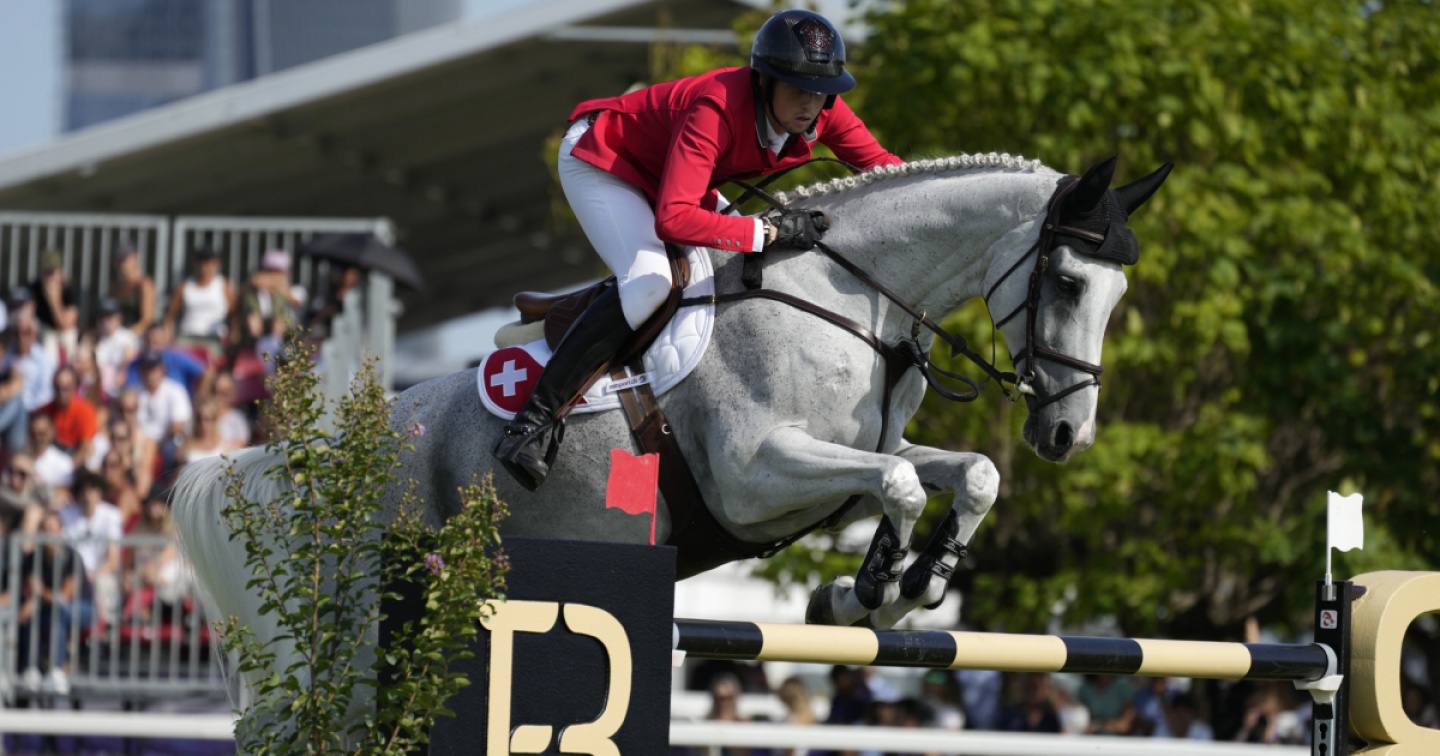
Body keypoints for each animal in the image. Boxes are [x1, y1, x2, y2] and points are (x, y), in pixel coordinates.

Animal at [174, 153, 1170, 692]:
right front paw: (876, 586)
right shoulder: (756, 473)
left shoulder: (838, 469)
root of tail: (316, 457)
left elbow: (963, 474)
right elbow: (897, 484)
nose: (1066, 435)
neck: (851, 297)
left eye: (1119, 294)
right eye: (1068, 283)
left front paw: (888, 589)